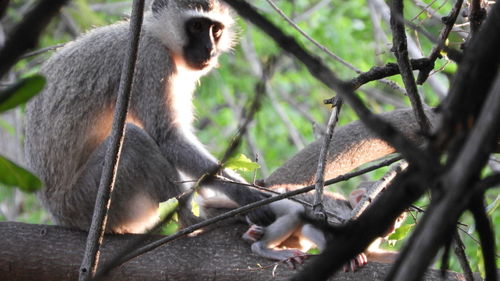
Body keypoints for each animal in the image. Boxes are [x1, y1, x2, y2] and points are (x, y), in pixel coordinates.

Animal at [24, 0, 272, 233]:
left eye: (216, 29)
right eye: (197, 26)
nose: (209, 49)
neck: (157, 35)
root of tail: (59, 214)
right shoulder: (151, 61)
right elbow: (168, 138)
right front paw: (247, 194)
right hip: (86, 201)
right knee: (134, 139)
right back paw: (194, 220)